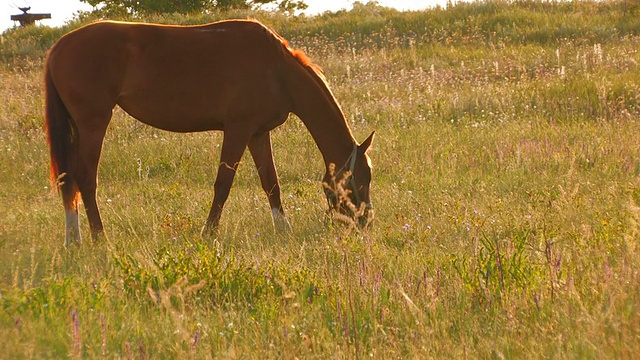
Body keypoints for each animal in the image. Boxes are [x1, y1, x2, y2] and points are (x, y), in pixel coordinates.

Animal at [43, 18, 376, 246]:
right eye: (362, 178)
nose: (365, 222)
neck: (277, 70)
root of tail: (59, 46)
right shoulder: (237, 130)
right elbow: (223, 184)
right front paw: (209, 232)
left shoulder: (258, 134)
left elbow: (271, 184)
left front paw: (284, 229)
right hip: (93, 124)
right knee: (86, 178)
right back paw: (99, 237)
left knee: (69, 179)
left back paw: (73, 239)